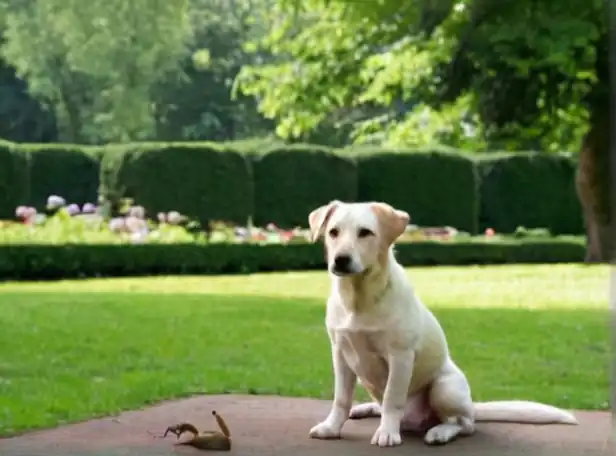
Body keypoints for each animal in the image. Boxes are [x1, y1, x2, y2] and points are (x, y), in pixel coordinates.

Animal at [308, 201, 576, 448]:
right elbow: (341, 399)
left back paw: (440, 432)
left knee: (463, 423)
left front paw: (387, 433)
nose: (341, 260)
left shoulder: (400, 355)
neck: (359, 299)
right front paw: (331, 427)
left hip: (444, 387)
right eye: (333, 232)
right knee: (382, 404)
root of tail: (473, 406)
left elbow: (393, 397)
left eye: (365, 232)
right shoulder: (341, 353)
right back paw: (367, 408)